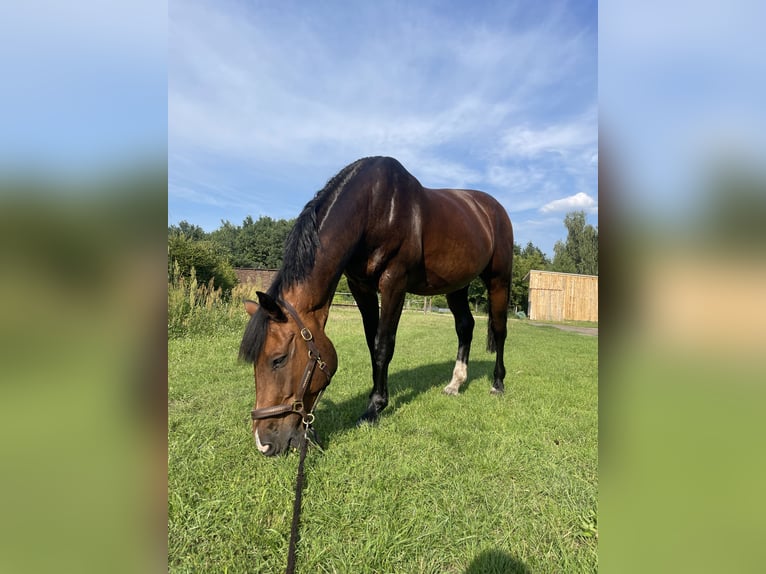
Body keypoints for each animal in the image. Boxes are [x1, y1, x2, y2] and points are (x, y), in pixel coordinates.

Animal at [240, 155, 516, 456]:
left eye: (278, 359)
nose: (264, 443)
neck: (374, 207)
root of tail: (493, 208)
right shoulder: (361, 287)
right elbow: (372, 345)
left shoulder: (393, 282)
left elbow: (383, 345)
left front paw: (374, 409)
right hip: (456, 286)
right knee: (465, 326)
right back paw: (455, 384)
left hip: (499, 280)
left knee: (499, 330)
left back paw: (498, 384)